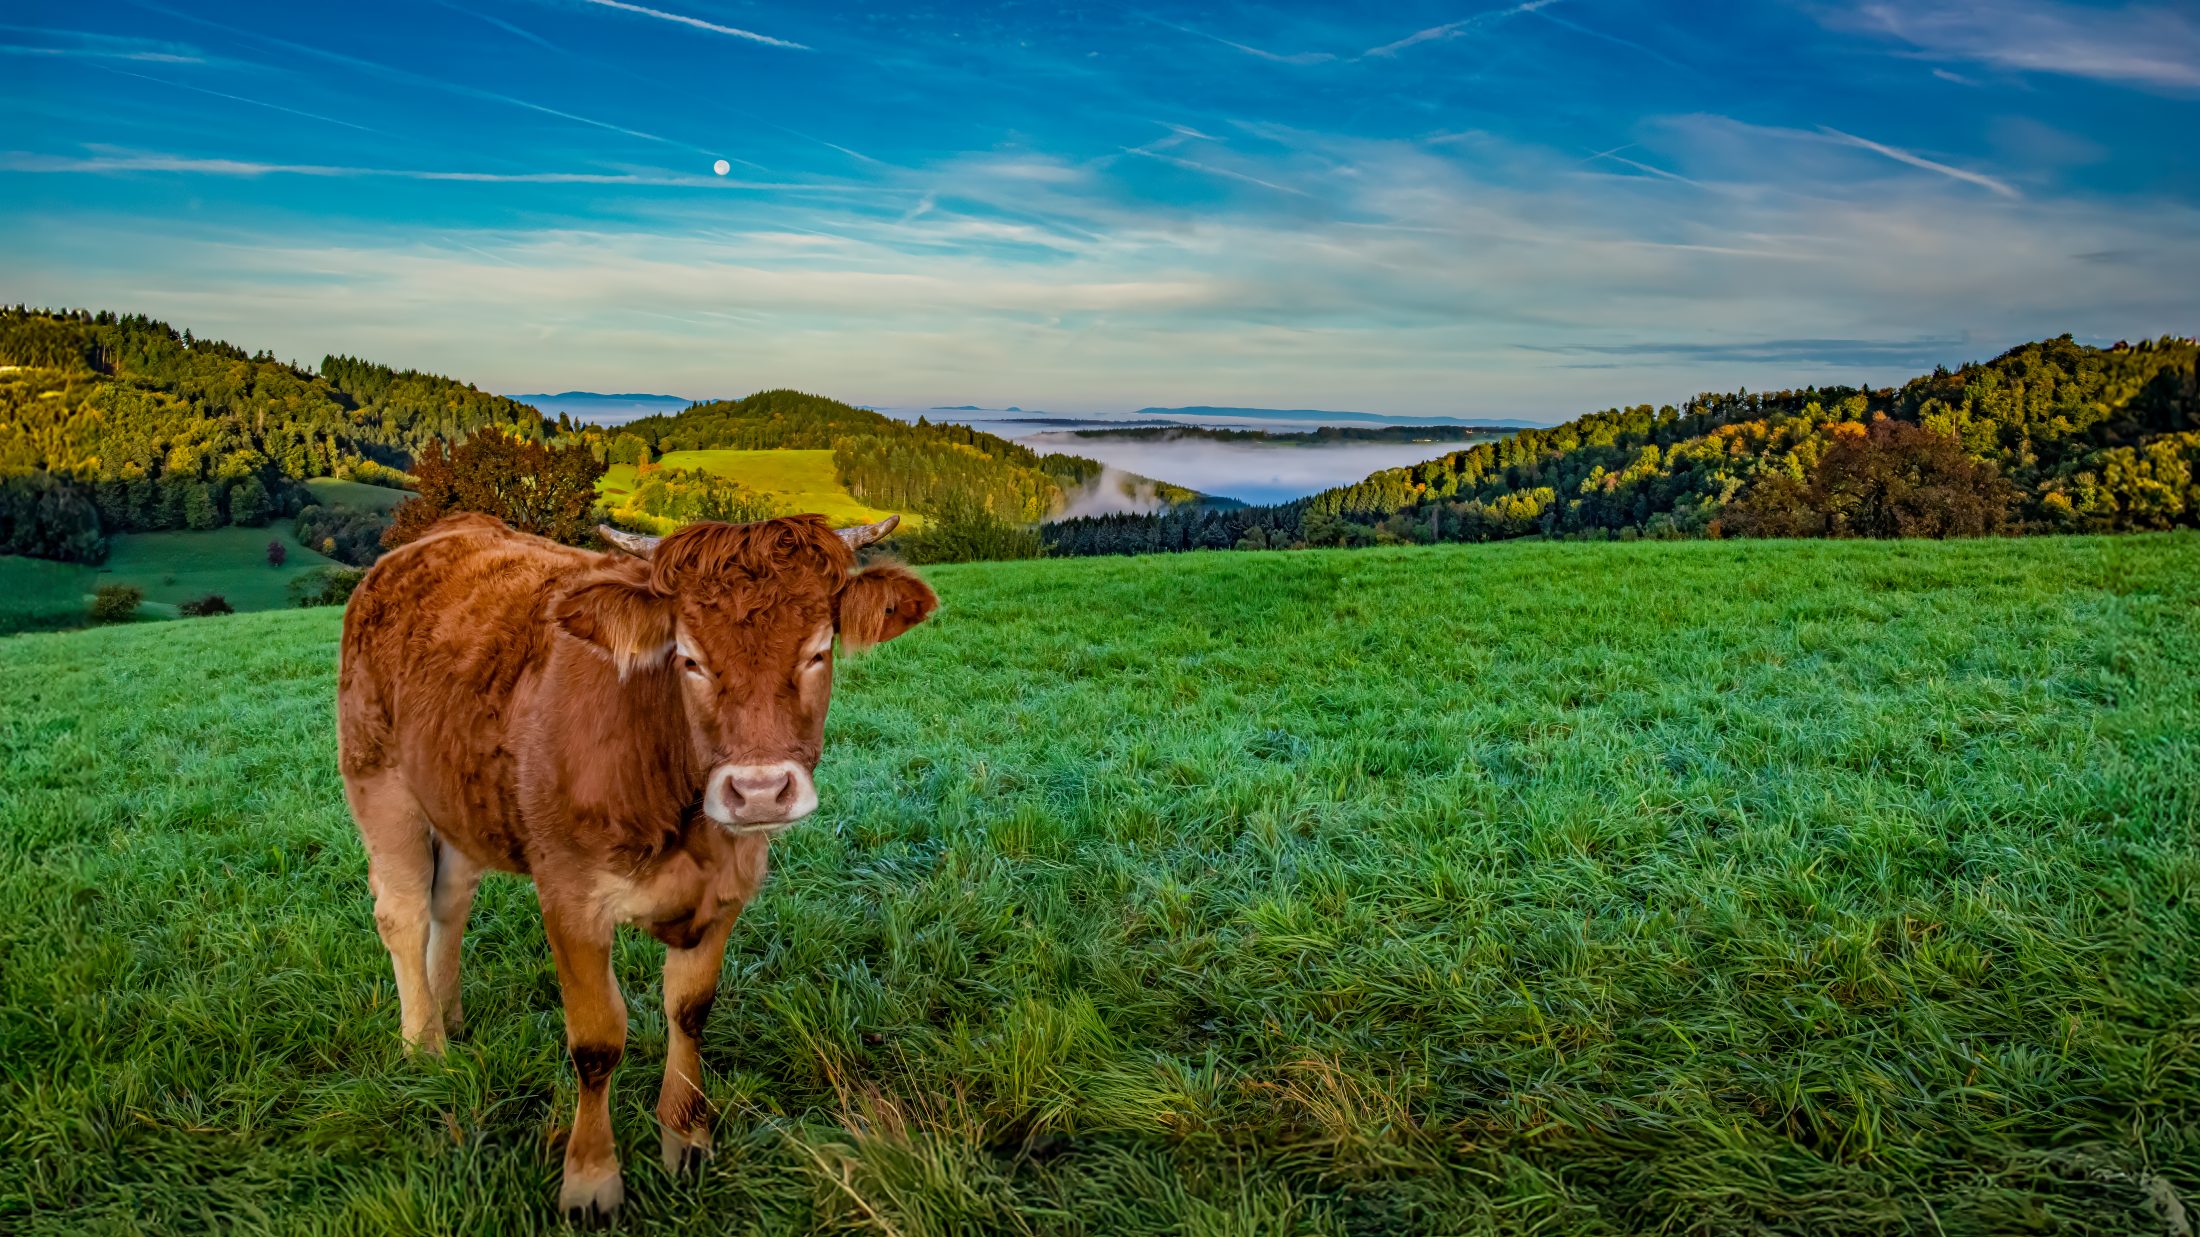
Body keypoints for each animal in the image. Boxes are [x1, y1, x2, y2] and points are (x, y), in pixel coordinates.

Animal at [336, 511, 936, 1217]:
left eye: (818, 651)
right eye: (689, 658)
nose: (759, 790)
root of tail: (442, 533)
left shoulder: (725, 895)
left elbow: (690, 1010)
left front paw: (687, 1137)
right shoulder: (569, 897)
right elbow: (597, 1042)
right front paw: (592, 1178)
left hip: (458, 801)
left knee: (449, 904)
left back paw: (448, 1015)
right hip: (379, 782)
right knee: (402, 914)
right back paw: (424, 1043)